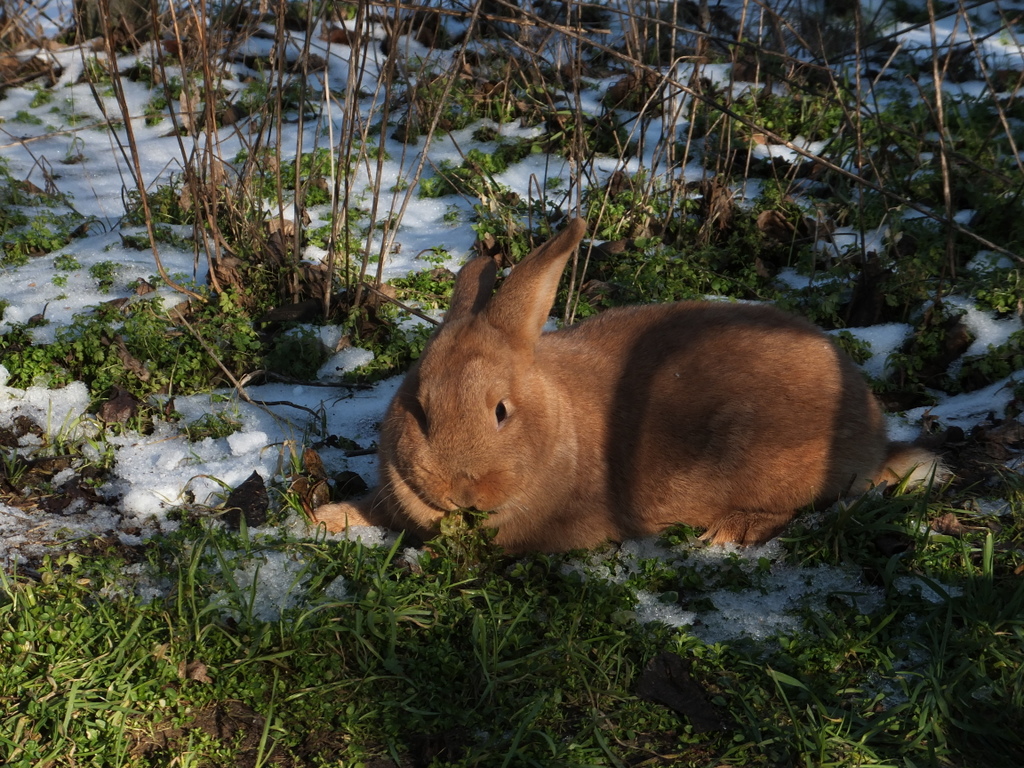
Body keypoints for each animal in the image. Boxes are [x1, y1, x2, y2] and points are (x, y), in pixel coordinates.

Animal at [313, 217, 944, 553]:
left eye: (501, 411)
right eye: (420, 409)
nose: (463, 492)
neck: (558, 422)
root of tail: (873, 436)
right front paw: (323, 518)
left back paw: (728, 531)